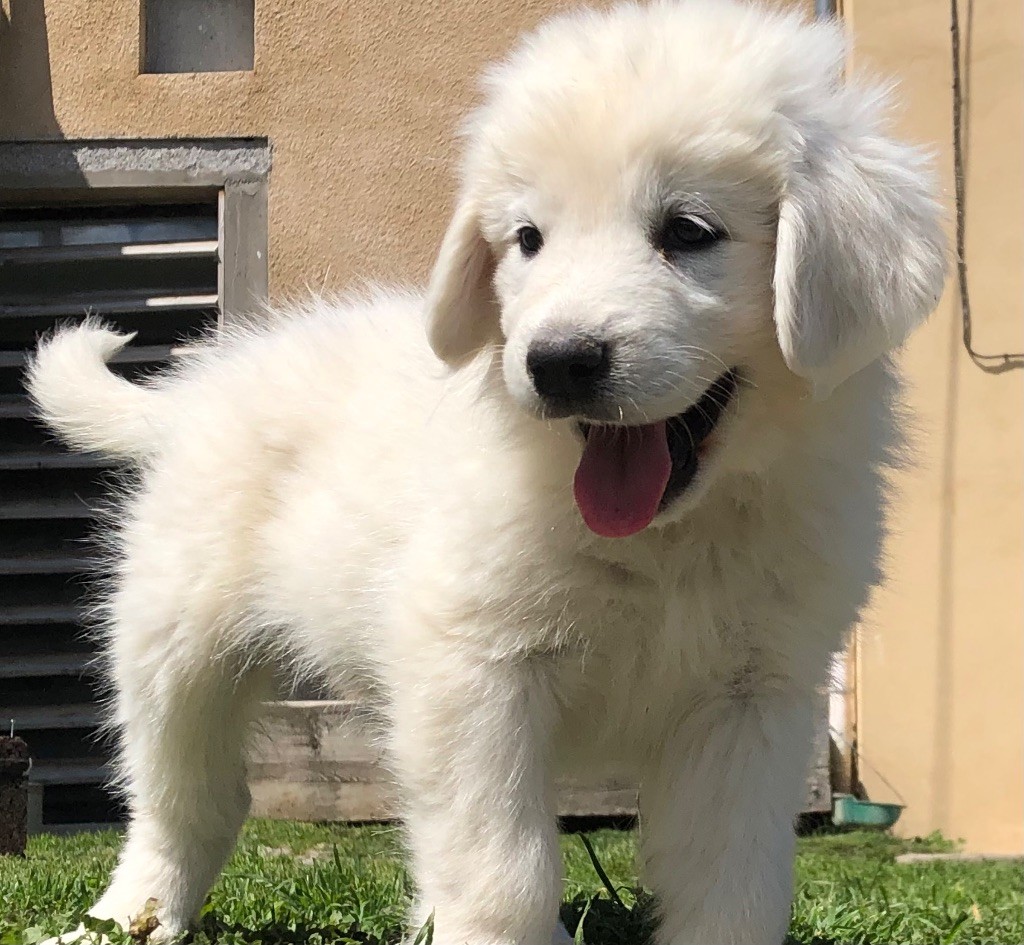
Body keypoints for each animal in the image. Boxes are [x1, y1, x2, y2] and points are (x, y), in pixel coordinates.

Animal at [28, 1, 945, 942]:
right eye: (528, 240)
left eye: (689, 232)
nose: (559, 361)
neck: (665, 540)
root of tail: (196, 391)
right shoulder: (472, 667)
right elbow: (501, 858)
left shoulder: (752, 697)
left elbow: (732, 879)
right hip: (175, 641)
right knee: (182, 800)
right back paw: (127, 916)